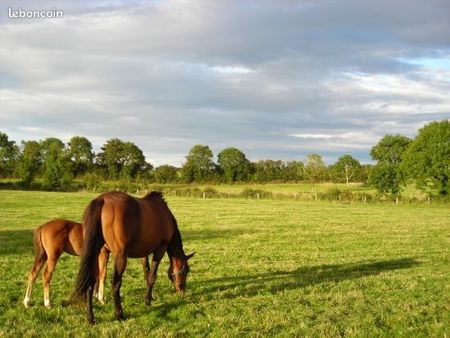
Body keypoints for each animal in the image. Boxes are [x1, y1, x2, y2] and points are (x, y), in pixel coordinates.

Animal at [73, 191, 193, 324]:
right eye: (186, 270)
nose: (182, 291)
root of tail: (102, 200)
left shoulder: (144, 253)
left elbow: (146, 274)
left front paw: (150, 296)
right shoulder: (159, 251)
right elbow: (152, 276)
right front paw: (147, 301)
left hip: (96, 253)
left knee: (90, 283)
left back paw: (90, 318)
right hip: (120, 257)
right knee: (115, 284)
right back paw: (119, 314)